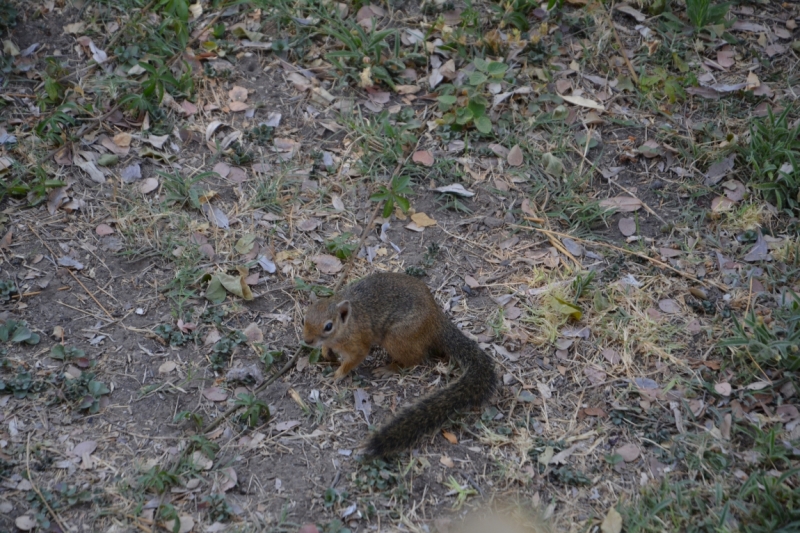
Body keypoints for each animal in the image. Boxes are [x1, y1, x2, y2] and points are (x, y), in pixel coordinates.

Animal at [304, 272, 496, 456]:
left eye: (328, 326)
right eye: (304, 319)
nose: (307, 341)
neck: (347, 325)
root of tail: (436, 320)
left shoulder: (359, 344)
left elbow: (353, 360)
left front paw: (337, 374)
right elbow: (327, 348)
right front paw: (327, 353)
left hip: (396, 338)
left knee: (415, 359)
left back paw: (388, 368)